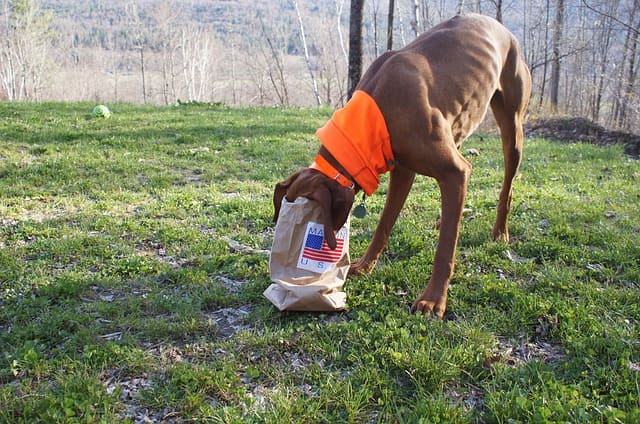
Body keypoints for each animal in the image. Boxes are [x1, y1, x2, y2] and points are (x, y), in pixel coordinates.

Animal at [272, 12, 532, 318]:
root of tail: (500, 26)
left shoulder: (455, 172)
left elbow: (445, 249)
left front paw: (433, 300)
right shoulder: (403, 171)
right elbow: (384, 224)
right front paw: (365, 265)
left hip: (512, 127)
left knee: (507, 185)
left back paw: (500, 232)